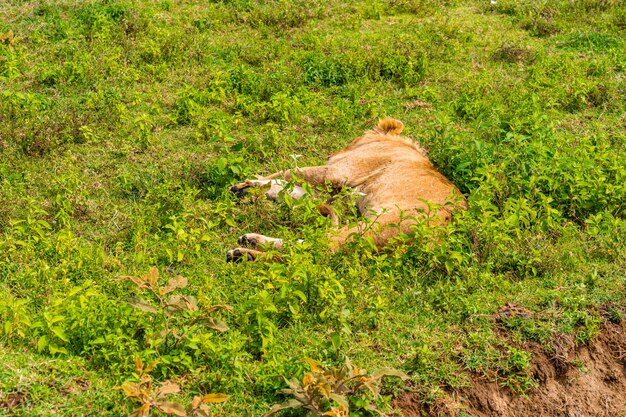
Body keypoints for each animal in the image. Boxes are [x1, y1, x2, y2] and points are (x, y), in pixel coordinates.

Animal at [224, 117, 464, 260]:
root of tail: (441, 239)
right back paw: (250, 242)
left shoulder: (337, 173)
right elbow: (295, 191)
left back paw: (243, 253)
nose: (331, 153)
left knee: (318, 249)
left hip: (371, 226)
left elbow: (290, 172)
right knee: (309, 244)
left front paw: (249, 183)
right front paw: (253, 190)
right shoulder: (340, 190)